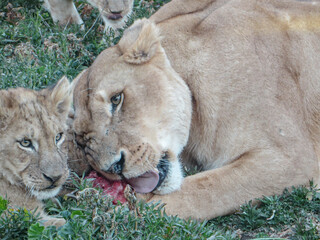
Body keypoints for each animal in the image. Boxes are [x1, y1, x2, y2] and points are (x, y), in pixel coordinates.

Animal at [71, 0, 320, 220]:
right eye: (83, 141)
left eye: (117, 99)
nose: (115, 166)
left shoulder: (292, 157)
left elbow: (203, 190)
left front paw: (130, 213)